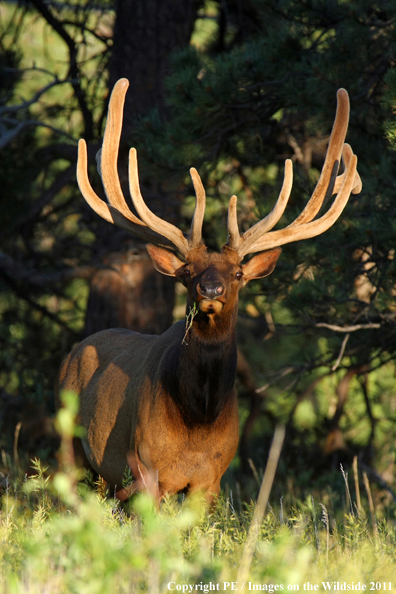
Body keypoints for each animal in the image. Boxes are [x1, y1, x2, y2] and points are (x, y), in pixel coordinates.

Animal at [58, 78, 362, 502]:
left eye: (237, 273)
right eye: (188, 271)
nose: (212, 289)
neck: (197, 423)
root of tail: (74, 350)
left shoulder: (211, 480)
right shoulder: (145, 468)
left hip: (105, 476)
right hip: (69, 445)